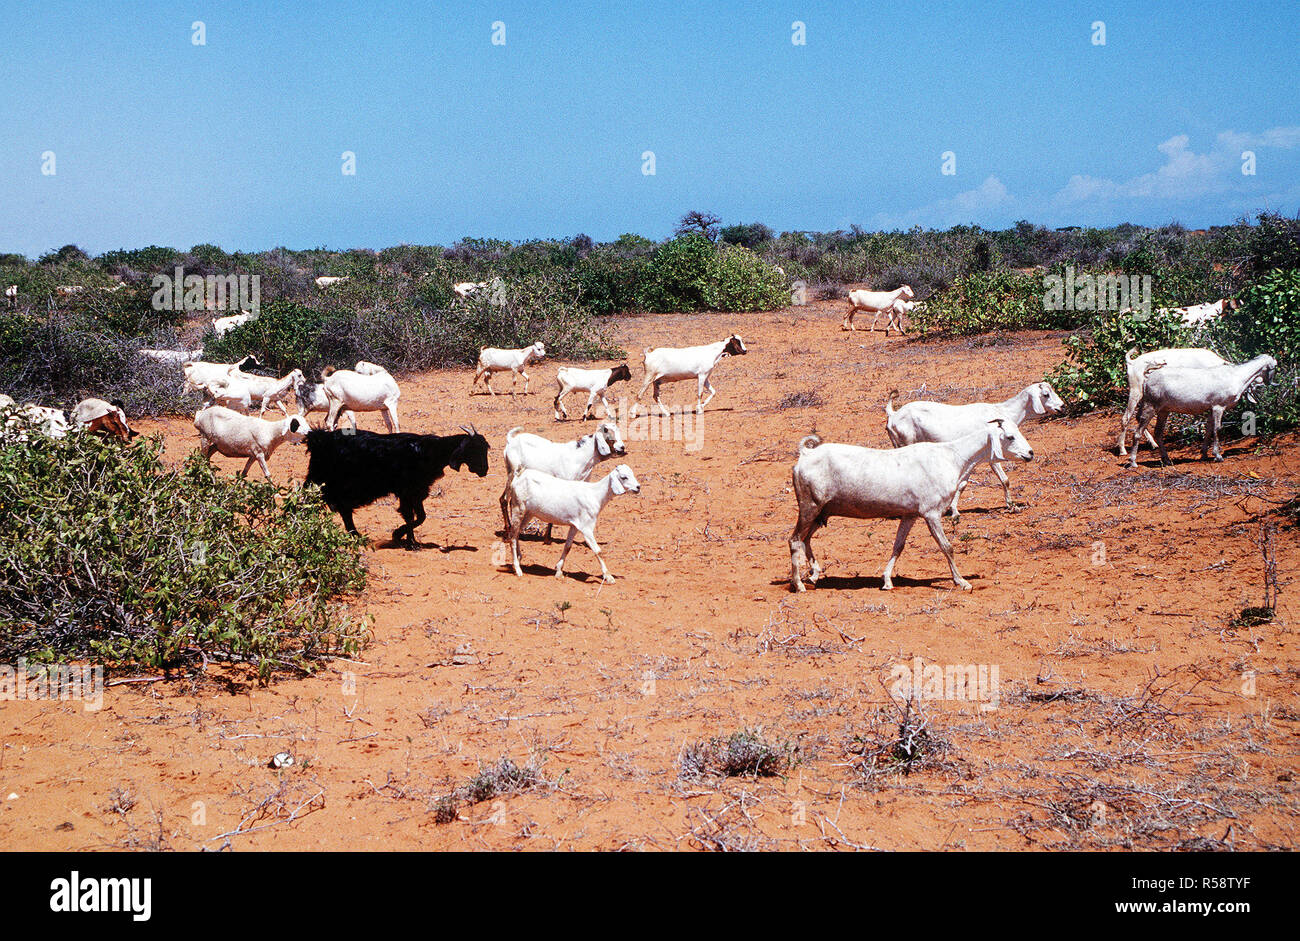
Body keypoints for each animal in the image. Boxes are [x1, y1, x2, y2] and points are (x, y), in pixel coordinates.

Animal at [304, 423, 491, 548]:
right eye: (473, 449)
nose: (484, 470)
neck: (429, 451)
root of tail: (319, 439)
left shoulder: (417, 491)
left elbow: (421, 516)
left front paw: (401, 535)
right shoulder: (407, 492)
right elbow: (409, 516)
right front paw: (409, 542)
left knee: (342, 509)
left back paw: (355, 535)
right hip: (325, 482)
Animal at [501, 462, 639, 579]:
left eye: (632, 473)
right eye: (624, 477)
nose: (638, 487)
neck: (595, 495)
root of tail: (518, 476)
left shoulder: (575, 526)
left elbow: (568, 547)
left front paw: (558, 571)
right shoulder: (586, 528)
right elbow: (597, 550)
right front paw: (608, 576)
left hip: (529, 513)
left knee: (517, 533)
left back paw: (519, 558)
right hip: (518, 507)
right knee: (512, 536)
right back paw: (517, 569)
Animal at [785, 415, 1029, 587]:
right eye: (1010, 437)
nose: (1030, 453)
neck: (950, 457)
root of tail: (805, 455)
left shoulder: (910, 515)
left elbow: (898, 546)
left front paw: (886, 580)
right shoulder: (931, 513)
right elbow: (947, 546)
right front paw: (962, 582)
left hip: (822, 512)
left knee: (806, 539)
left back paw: (814, 575)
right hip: (809, 507)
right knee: (795, 540)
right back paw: (799, 585)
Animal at [889, 379, 1060, 517]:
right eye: (1046, 394)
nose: (1062, 407)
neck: (1001, 410)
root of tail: (892, 415)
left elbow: (962, 485)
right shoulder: (991, 456)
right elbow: (1004, 480)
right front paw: (1011, 506)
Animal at [1133, 353, 1274, 467]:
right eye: (1274, 368)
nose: (1270, 383)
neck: (1236, 376)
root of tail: (1147, 379)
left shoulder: (1211, 409)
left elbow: (1209, 429)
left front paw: (1204, 455)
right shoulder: (1218, 407)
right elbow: (1217, 429)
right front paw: (1218, 456)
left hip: (1164, 410)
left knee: (1158, 432)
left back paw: (1167, 460)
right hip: (1150, 405)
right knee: (1138, 432)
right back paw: (1133, 462)